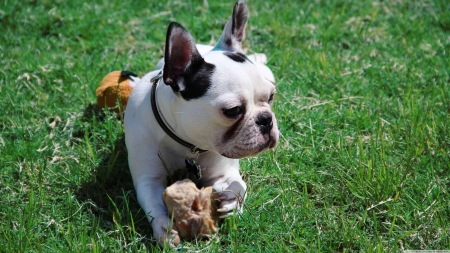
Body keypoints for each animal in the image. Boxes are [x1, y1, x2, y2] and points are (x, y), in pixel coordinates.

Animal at [123, 0, 278, 245]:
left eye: (271, 97)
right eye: (233, 111)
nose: (266, 120)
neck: (187, 144)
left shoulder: (223, 172)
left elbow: (239, 185)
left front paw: (232, 201)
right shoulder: (148, 178)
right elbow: (153, 203)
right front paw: (164, 227)